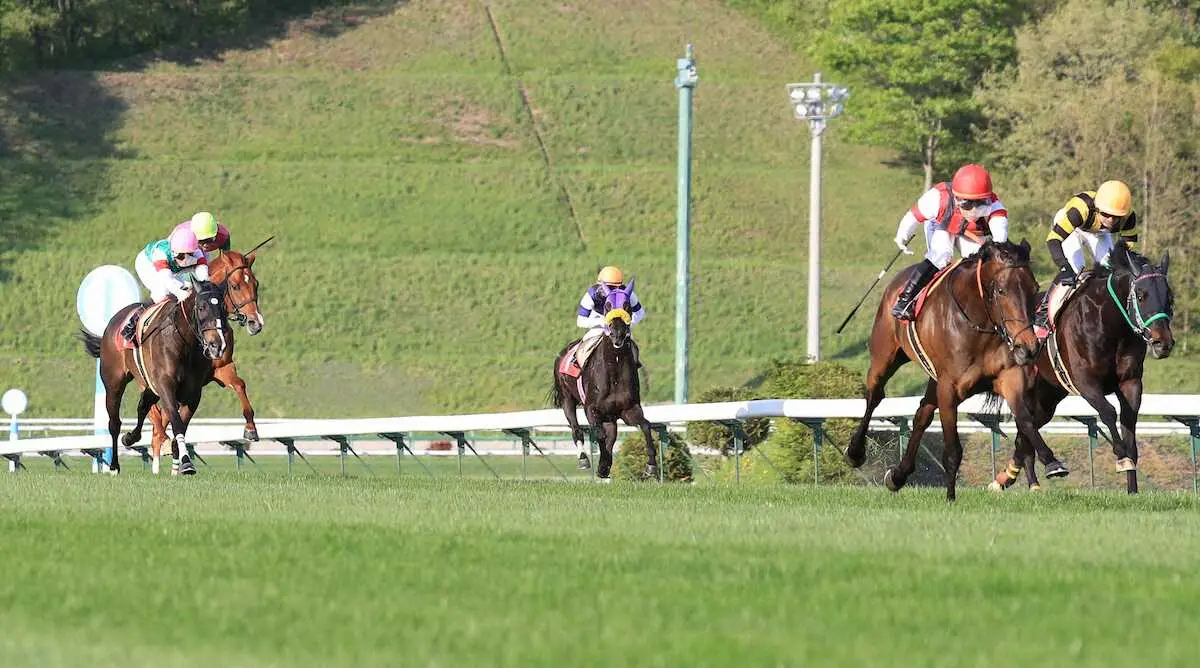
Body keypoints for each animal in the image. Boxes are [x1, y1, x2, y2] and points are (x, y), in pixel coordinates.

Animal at [81, 278, 230, 477]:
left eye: (224, 308)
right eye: (201, 307)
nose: (217, 345)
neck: (185, 343)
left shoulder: (193, 394)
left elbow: (181, 424)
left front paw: (178, 463)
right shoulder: (166, 386)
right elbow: (176, 422)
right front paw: (186, 462)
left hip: (150, 386)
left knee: (142, 406)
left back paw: (130, 438)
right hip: (113, 384)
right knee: (114, 423)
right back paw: (114, 465)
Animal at [146, 244, 266, 462]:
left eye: (256, 284)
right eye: (235, 286)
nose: (256, 323)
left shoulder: (221, 368)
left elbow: (239, 385)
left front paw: (251, 429)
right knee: (158, 422)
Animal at [552, 278, 657, 482]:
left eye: (627, 305)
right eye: (607, 305)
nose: (617, 334)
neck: (613, 370)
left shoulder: (629, 409)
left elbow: (645, 426)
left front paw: (650, 465)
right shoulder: (591, 409)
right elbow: (599, 435)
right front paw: (602, 465)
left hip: (611, 416)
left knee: (612, 435)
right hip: (567, 398)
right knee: (576, 429)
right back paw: (584, 459)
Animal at [844, 239, 1051, 498]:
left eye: (1034, 288)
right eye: (1002, 290)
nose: (1029, 347)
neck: (979, 325)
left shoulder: (1009, 378)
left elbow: (1026, 421)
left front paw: (1052, 462)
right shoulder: (949, 388)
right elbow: (953, 450)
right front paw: (950, 498)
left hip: (933, 377)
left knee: (922, 413)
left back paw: (898, 475)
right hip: (885, 357)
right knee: (874, 395)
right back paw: (855, 452)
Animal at [988, 245, 1176, 494]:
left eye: (1169, 297)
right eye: (1141, 295)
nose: (1162, 342)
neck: (1109, 324)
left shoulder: (1131, 382)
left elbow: (1129, 425)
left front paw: (1133, 489)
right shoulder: (1085, 381)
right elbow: (1108, 412)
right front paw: (1121, 457)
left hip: (1048, 397)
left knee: (1027, 428)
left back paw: (1013, 478)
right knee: (1024, 422)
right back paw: (1029, 478)